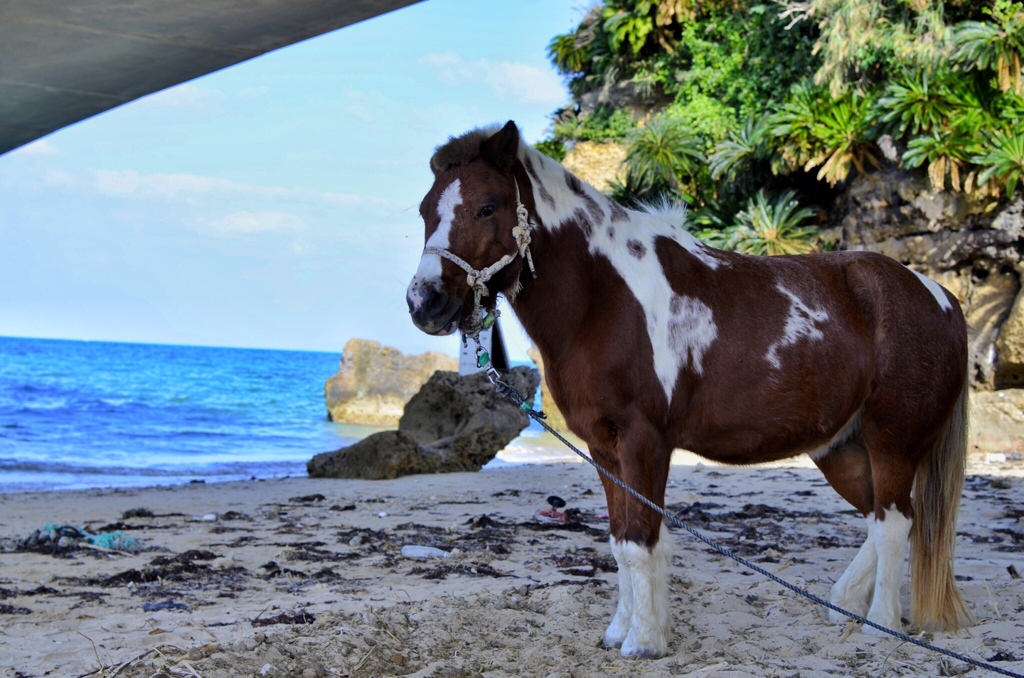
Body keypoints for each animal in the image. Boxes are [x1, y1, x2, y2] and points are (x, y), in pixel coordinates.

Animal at [403, 120, 962, 659]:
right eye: (425, 210)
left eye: (487, 206)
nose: (424, 302)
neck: (603, 299)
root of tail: (939, 295)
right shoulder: (603, 448)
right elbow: (619, 540)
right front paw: (619, 632)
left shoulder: (644, 440)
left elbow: (640, 540)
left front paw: (645, 641)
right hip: (841, 448)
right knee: (885, 517)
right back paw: (845, 604)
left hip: (891, 441)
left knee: (894, 523)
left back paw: (879, 625)